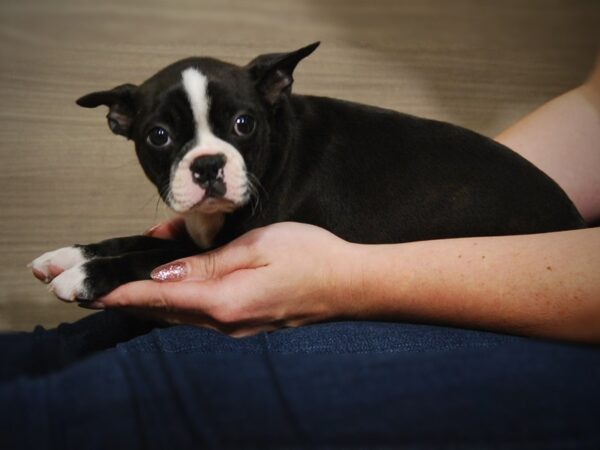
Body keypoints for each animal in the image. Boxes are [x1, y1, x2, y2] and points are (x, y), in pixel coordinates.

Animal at [29, 43, 584, 302]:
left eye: (244, 123)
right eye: (158, 136)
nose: (207, 165)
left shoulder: (224, 246)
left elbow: (155, 254)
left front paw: (87, 275)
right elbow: (134, 239)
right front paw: (68, 254)